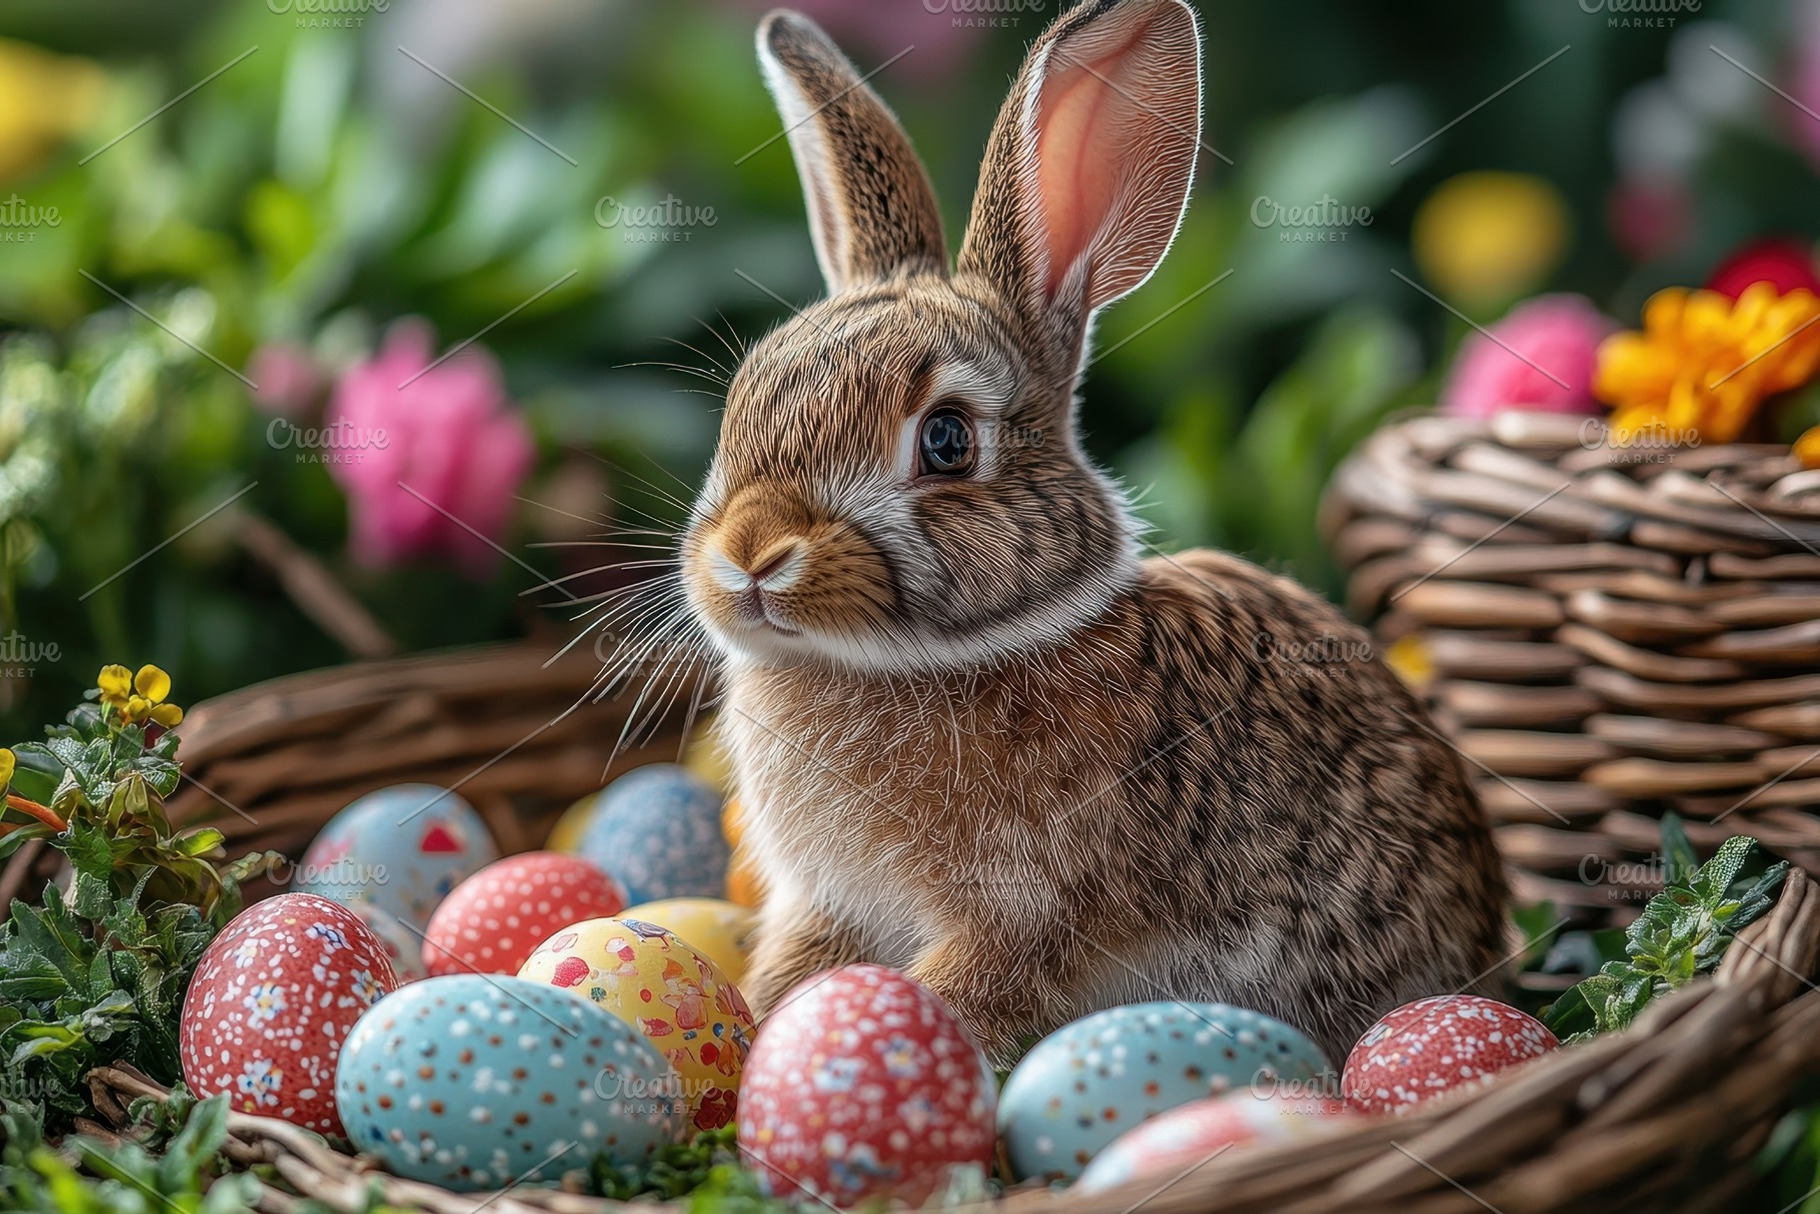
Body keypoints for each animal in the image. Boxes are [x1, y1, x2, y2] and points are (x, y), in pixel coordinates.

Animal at [676, 0, 1511, 1066]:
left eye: (946, 440)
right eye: (741, 401)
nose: (750, 554)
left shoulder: (1026, 919)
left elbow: (965, 993)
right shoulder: (821, 906)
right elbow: (781, 979)